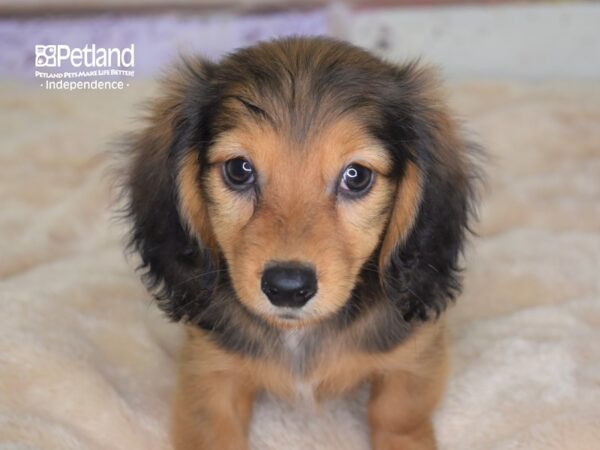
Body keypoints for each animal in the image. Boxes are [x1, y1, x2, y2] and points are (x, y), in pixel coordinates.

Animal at [122, 37, 478, 448]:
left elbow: (397, 415)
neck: (301, 336)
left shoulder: (412, 359)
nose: (288, 288)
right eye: (239, 169)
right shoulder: (209, 373)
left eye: (356, 176)